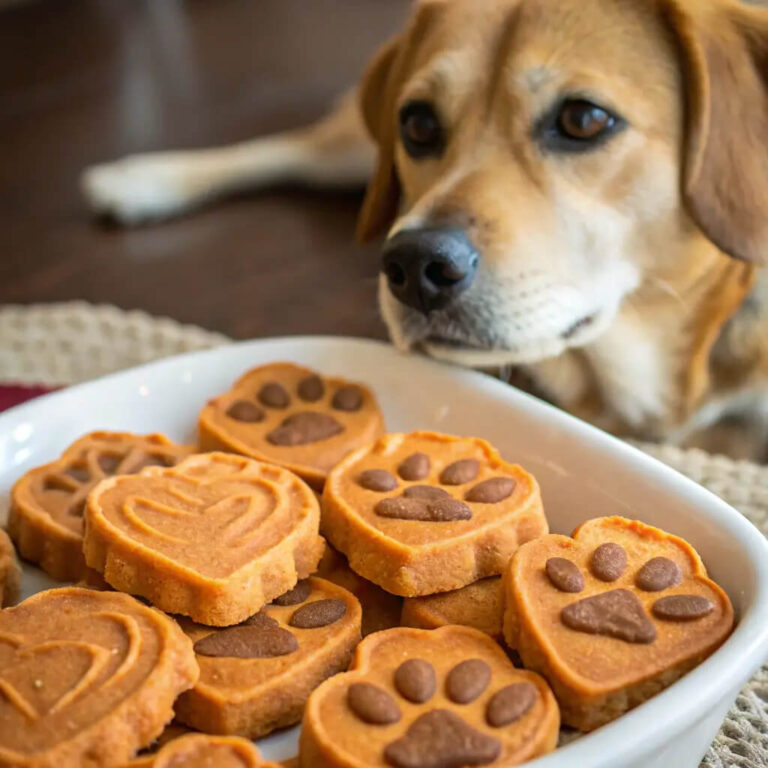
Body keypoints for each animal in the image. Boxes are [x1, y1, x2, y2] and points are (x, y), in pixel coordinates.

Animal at [82, 0, 768, 456]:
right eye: (417, 124)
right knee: (294, 145)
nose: (413, 266)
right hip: (349, 149)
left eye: (583, 119)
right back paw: (142, 179)